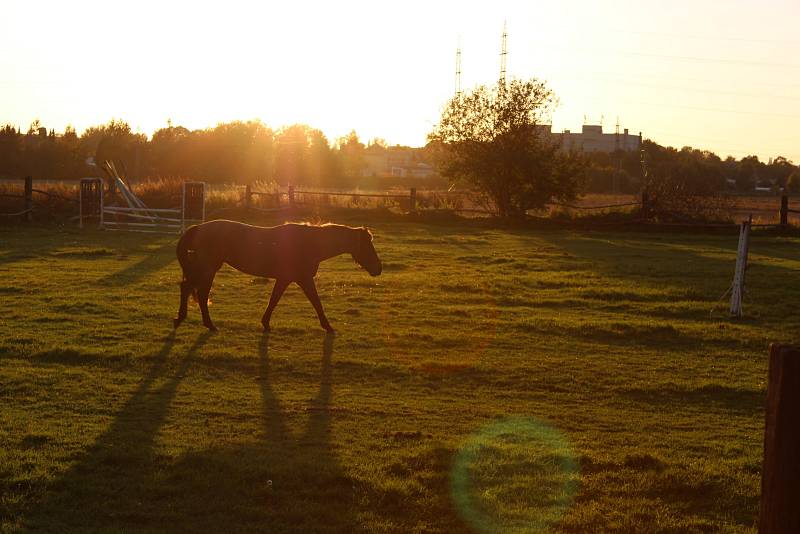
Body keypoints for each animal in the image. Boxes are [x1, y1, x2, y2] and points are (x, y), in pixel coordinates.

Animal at [171, 221, 382, 330]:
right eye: (368, 246)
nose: (378, 268)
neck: (308, 243)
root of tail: (198, 228)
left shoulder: (285, 279)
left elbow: (274, 300)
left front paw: (265, 322)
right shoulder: (303, 279)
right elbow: (316, 302)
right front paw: (328, 326)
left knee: (193, 289)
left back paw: (192, 320)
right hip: (208, 267)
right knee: (195, 290)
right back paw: (200, 322)